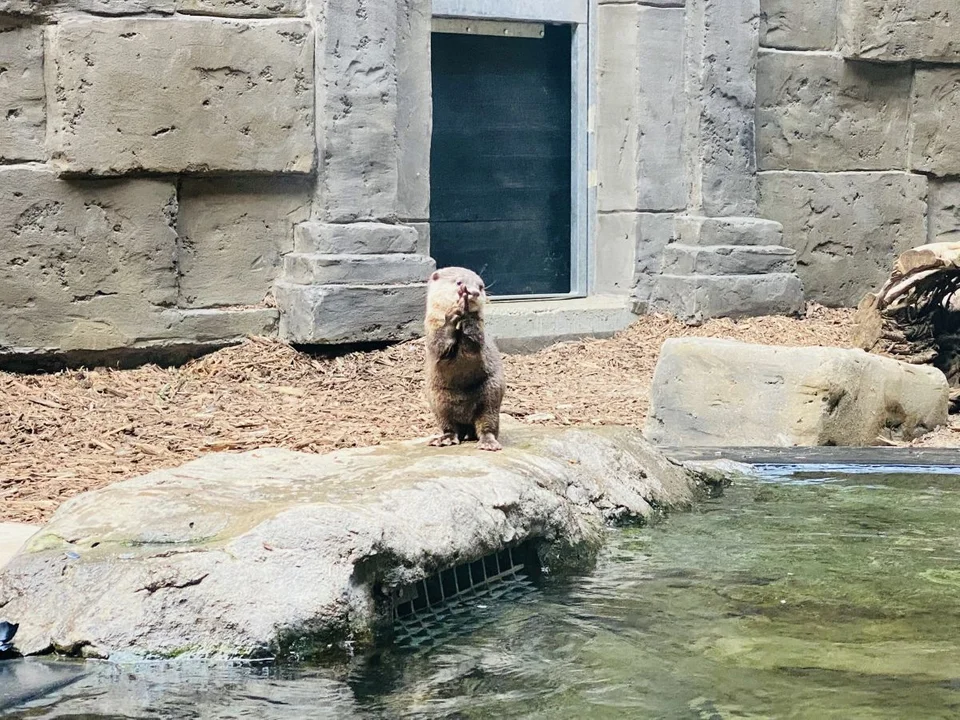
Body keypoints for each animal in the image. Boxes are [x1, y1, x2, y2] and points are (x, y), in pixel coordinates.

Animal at [424, 268, 506, 452]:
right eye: (459, 282)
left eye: (480, 286)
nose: (473, 292)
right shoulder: (432, 333)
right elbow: (440, 347)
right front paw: (454, 314)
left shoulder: (478, 341)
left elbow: (473, 344)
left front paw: (467, 311)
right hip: (437, 400)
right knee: (450, 426)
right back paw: (444, 439)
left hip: (491, 395)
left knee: (487, 424)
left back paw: (487, 443)